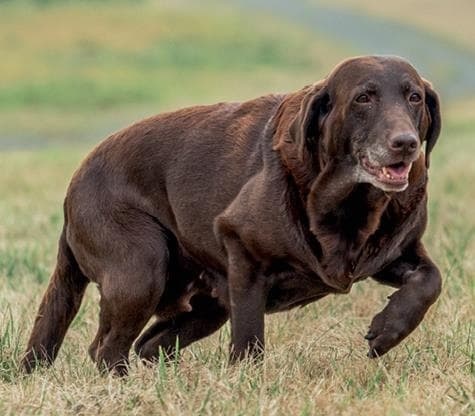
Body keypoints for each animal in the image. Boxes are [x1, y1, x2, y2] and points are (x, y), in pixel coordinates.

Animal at [23, 54, 442, 374]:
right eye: (363, 98)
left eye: (414, 97)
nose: (405, 143)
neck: (352, 204)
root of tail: (74, 185)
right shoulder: (243, 255)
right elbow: (250, 337)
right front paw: (248, 382)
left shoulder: (397, 251)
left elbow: (430, 281)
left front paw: (388, 330)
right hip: (141, 268)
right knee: (108, 349)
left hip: (205, 304)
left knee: (148, 345)